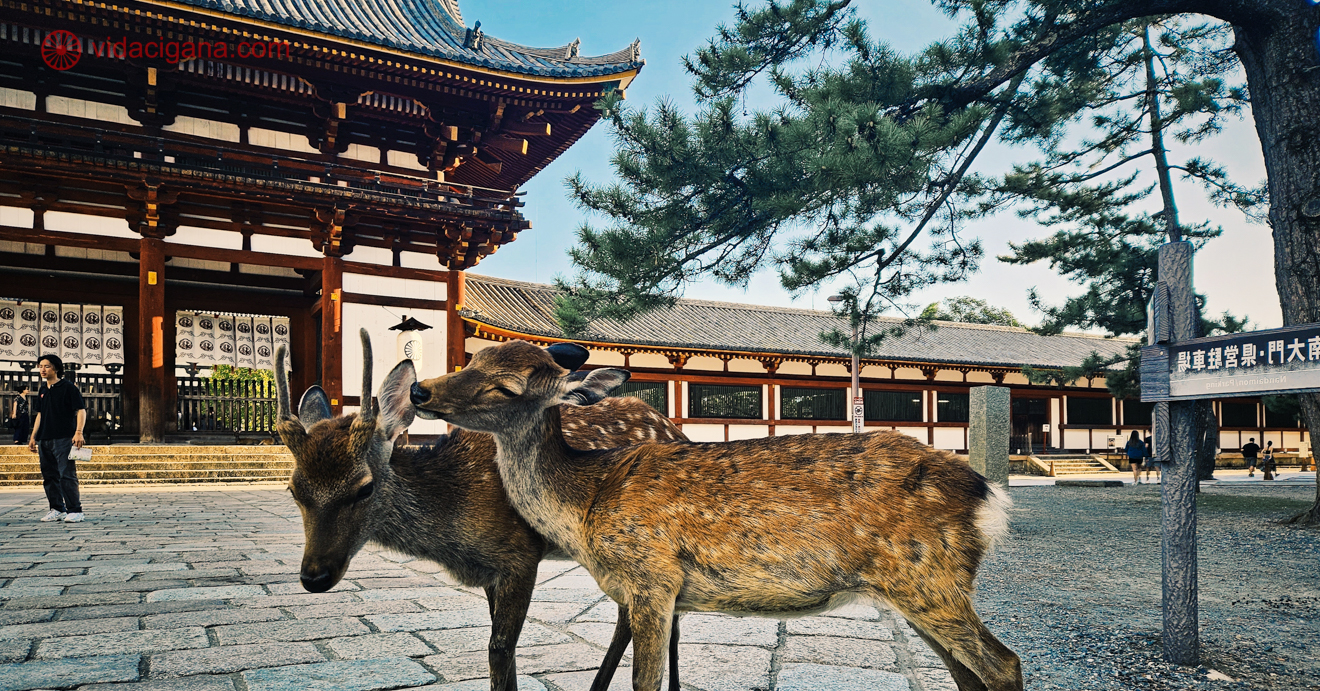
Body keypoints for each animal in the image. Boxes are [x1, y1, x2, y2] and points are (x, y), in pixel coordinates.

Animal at [274, 332, 696, 687]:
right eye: (294, 489)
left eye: (364, 488)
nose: (314, 576)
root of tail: (676, 429)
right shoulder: (491, 572)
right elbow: (503, 650)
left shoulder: (520, 556)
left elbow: (500, 649)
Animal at [409, 340, 1019, 691]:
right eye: (470, 359)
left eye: (505, 386)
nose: (418, 389)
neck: (585, 506)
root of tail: (987, 497)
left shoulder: (652, 578)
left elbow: (646, 684)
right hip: (917, 587)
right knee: (968, 675)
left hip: (926, 576)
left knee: (1002, 665)